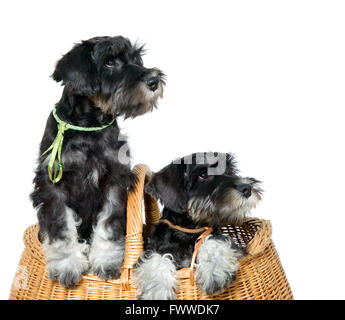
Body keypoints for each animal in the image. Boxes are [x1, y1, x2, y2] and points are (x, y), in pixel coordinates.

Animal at [30, 35, 164, 288]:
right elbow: (61, 226)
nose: (153, 80)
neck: (88, 125)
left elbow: (108, 224)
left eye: (136, 59)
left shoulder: (115, 180)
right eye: (109, 61)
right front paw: (67, 265)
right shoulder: (52, 185)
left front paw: (107, 262)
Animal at [134, 153, 260, 300]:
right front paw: (156, 291)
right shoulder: (152, 249)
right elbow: (156, 258)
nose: (247, 188)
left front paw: (215, 272)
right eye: (203, 174)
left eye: (230, 170)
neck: (190, 230)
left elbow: (213, 241)